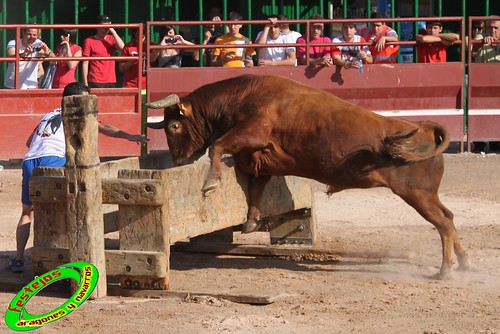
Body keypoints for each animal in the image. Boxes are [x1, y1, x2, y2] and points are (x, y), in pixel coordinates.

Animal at [146, 75, 470, 276]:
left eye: (174, 126)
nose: (178, 161)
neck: (241, 96)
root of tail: (424, 129)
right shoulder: (262, 160)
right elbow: (255, 187)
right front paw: (251, 220)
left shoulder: (252, 134)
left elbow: (217, 146)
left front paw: (210, 183)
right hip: (426, 194)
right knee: (449, 217)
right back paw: (464, 263)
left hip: (416, 194)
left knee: (442, 223)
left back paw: (445, 270)